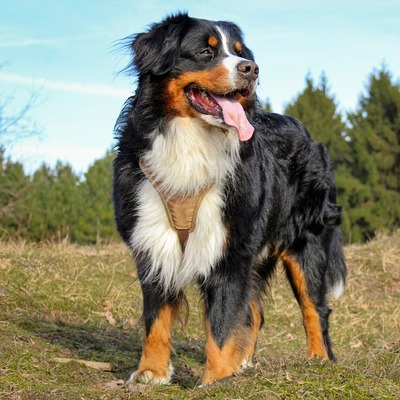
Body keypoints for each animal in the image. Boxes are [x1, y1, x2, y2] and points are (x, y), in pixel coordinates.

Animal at [113, 12, 346, 384]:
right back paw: (244, 364)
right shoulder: (152, 240)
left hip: (305, 242)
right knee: (254, 312)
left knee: (315, 308)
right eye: (206, 52)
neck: (191, 142)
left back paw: (319, 360)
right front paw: (151, 372)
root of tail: (310, 135)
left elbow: (222, 324)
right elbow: (156, 316)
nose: (251, 69)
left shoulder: (229, 248)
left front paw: (215, 381)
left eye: (239, 52)